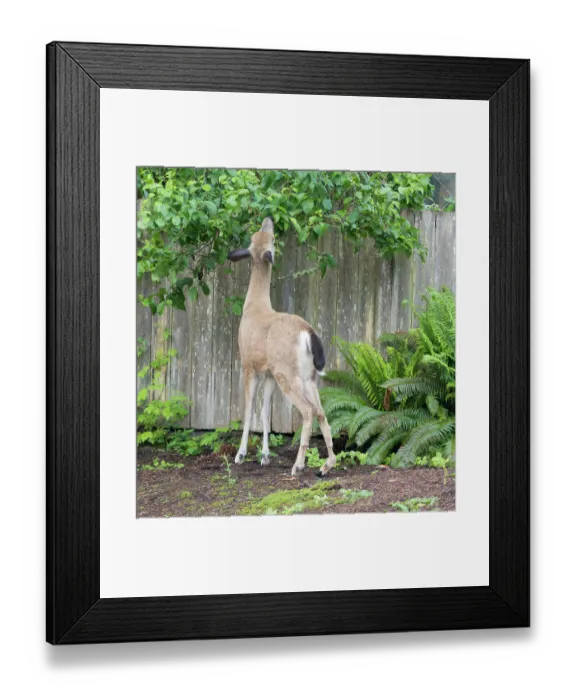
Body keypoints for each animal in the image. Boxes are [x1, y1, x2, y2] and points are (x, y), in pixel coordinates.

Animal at [228, 216, 337, 478]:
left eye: (271, 238)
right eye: (260, 234)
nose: (269, 219)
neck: (254, 306)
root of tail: (308, 333)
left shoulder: (248, 364)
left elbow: (249, 409)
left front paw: (241, 454)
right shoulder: (267, 373)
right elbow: (265, 412)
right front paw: (265, 456)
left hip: (286, 373)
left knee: (307, 412)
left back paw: (298, 466)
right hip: (307, 377)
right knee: (321, 411)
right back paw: (325, 466)